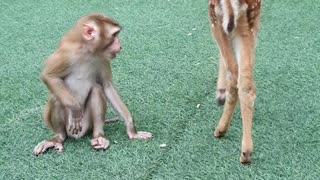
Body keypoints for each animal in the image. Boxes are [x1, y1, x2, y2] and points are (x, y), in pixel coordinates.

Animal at [33, 13, 152, 155]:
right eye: (114, 35)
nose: (120, 45)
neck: (87, 51)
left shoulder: (103, 57)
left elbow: (107, 86)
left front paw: (132, 130)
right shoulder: (67, 53)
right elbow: (49, 76)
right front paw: (75, 108)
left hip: (86, 125)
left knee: (96, 89)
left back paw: (99, 136)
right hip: (69, 127)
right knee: (56, 98)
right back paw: (58, 137)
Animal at [209, 0, 262, 163]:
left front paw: (220, 92)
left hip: (216, 18)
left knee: (234, 75)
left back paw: (220, 129)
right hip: (248, 23)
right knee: (246, 84)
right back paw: (247, 152)